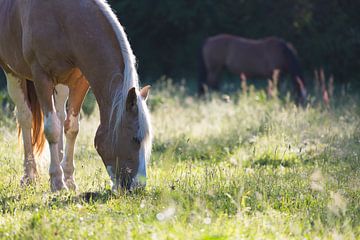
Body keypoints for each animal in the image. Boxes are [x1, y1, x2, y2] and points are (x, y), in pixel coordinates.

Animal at [0, 0, 152, 191]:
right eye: (135, 139)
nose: (139, 186)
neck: (63, 19)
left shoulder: (80, 80)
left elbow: (71, 128)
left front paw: (69, 180)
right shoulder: (41, 77)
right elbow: (51, 129)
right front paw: (57, 182)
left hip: (61, 83)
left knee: (59, 115)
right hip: (12, 72)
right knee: (25, 117)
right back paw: (29, 176)